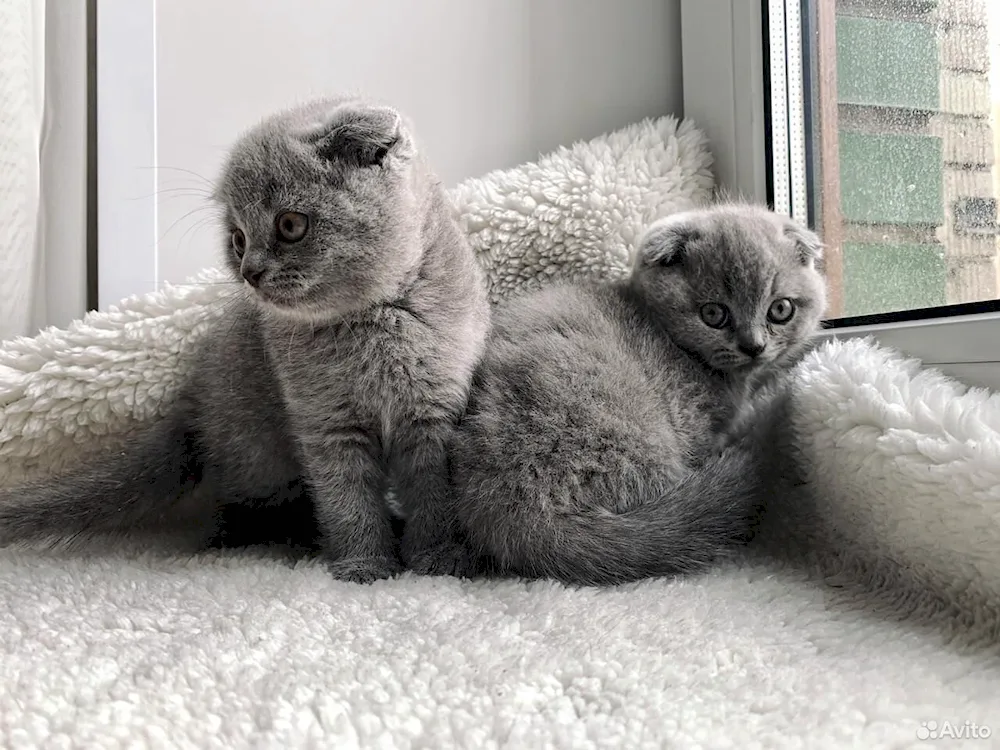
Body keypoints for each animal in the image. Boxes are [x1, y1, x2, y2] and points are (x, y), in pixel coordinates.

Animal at [0, 97, 488, 584]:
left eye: (290, 224)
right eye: (237, 239)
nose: (250, 271)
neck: (374, 318)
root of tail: (194, 403)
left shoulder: (434, 413)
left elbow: (434, 493)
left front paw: (439, 558)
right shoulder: (324, 422)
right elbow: (347, 498)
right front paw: (364, 566)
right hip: (257, 453)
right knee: (235, 511)